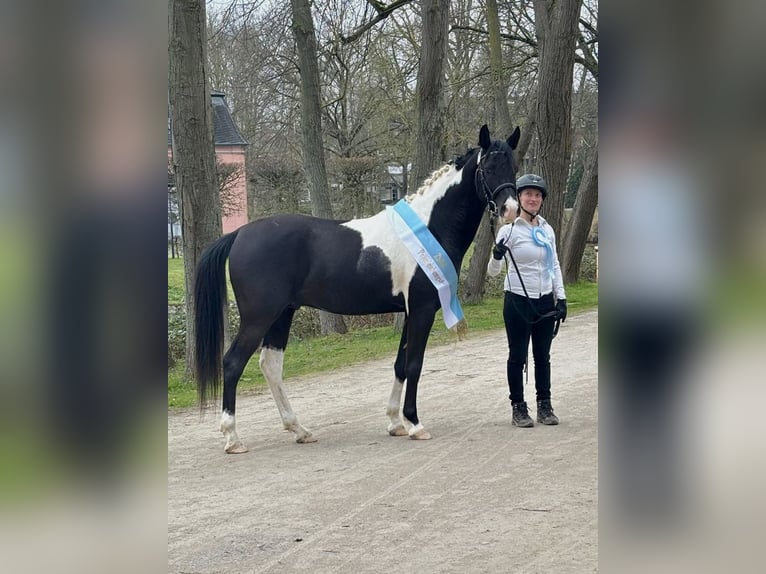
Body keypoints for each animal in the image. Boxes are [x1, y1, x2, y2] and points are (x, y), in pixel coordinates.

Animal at [194, 124, 520, 453]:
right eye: (488, 167)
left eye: (514, 167)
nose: (511, 209)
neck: (429, 226)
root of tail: (239, 234)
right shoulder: (422, 310)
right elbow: (415, 364)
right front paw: (415, 424)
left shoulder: (409, 311)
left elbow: (400, 364)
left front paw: (395, 422)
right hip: (259, 318)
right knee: (233, 363)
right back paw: (233, 438)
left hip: (281, 315)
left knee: (270, 366)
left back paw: (299, 429)